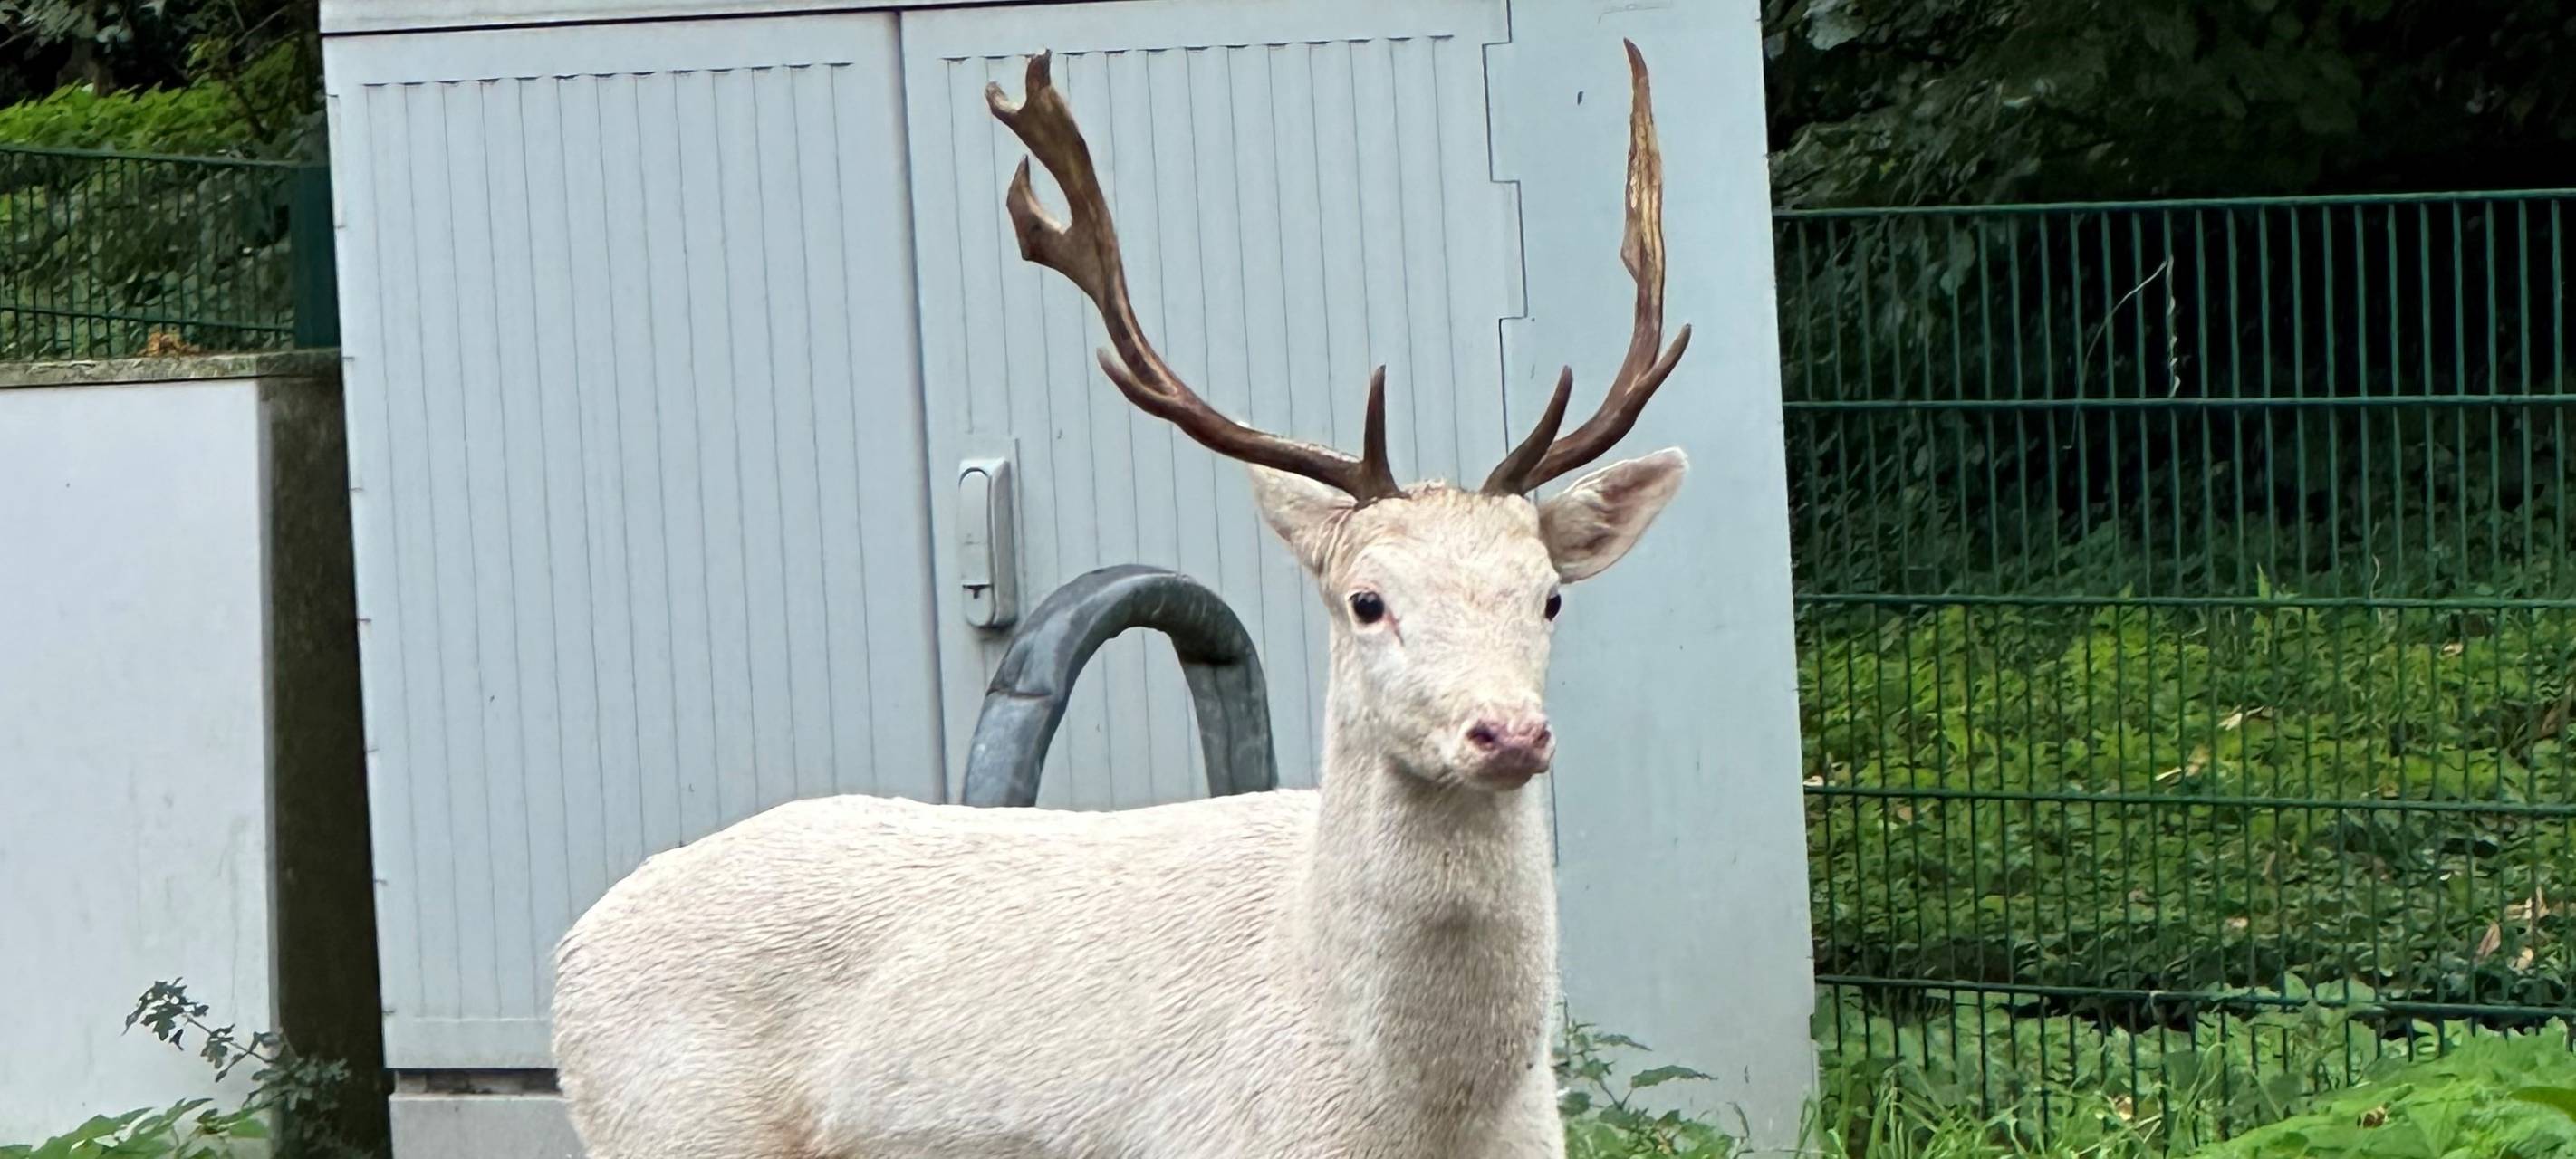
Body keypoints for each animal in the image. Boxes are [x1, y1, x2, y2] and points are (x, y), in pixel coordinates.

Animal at [549, 39, 1694, 1159]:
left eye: (1549, 597)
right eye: (1367, 599)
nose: (1507, 732)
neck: (1410, 1113)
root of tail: (573, 953)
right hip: (668, 1122)